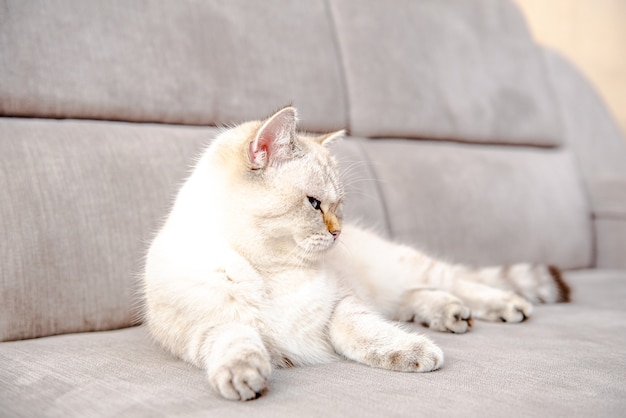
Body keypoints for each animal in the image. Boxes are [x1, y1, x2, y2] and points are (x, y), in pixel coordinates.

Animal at [143, 105, 572, 402]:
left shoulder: (341, 306)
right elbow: (236, 342)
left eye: (339, 206)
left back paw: (500, 307)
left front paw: (415, 352)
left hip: (412, 269)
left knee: (460, 283)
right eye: (314, 204)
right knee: (415, 299)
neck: (271, 272)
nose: (338, 232)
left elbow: (368, 334)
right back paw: (449, 315)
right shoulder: (207, 326)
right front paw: (245, 378)